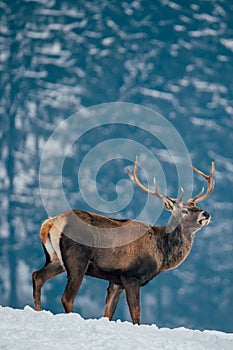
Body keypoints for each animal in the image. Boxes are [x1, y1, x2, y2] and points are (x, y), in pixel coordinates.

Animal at [31, 157, 214, 324]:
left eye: (196, 206)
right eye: (184, 211)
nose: (206, 214)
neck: (161, 254)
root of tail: (50, 223)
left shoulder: (116, 280)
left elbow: (107, 313)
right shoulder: (131, 276)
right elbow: (136, 314)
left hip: (56, 259)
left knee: (37, 275)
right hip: (77, 259)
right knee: (66, 297)